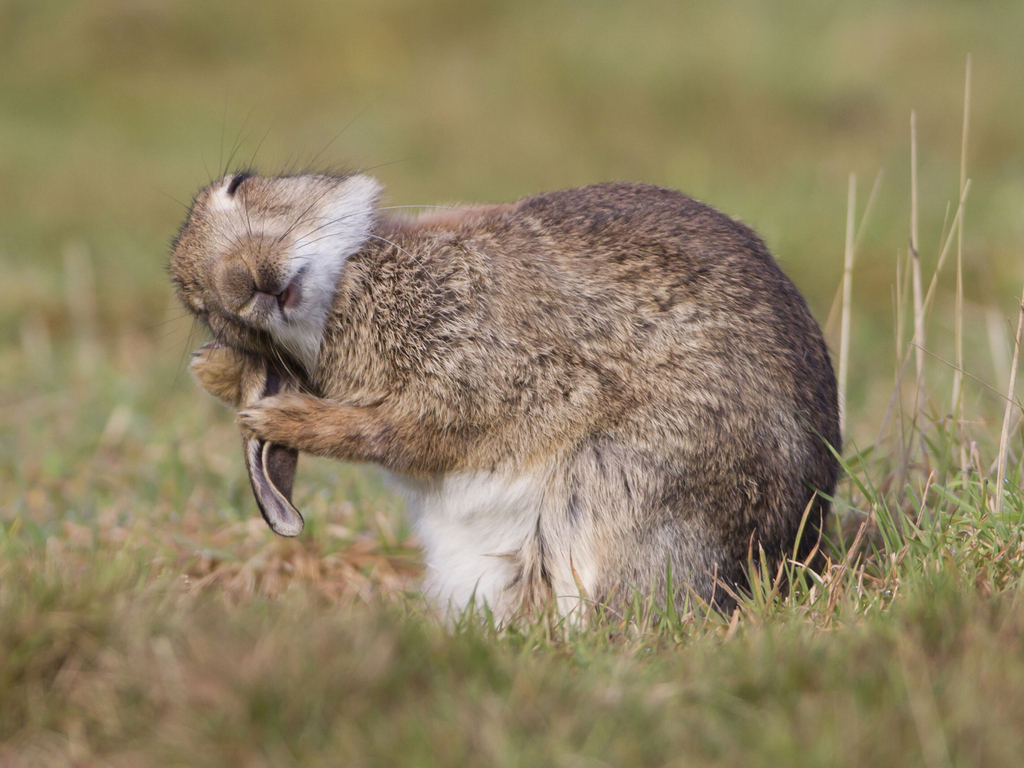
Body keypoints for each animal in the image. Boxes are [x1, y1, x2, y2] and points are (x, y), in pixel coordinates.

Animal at [169, 173, 839, 618]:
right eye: (199, 306)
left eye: (239, 184)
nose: (237, 282)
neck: (344, 293)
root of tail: (789, 549)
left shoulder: (492, 378)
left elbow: (401, 433)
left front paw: (277, 416)